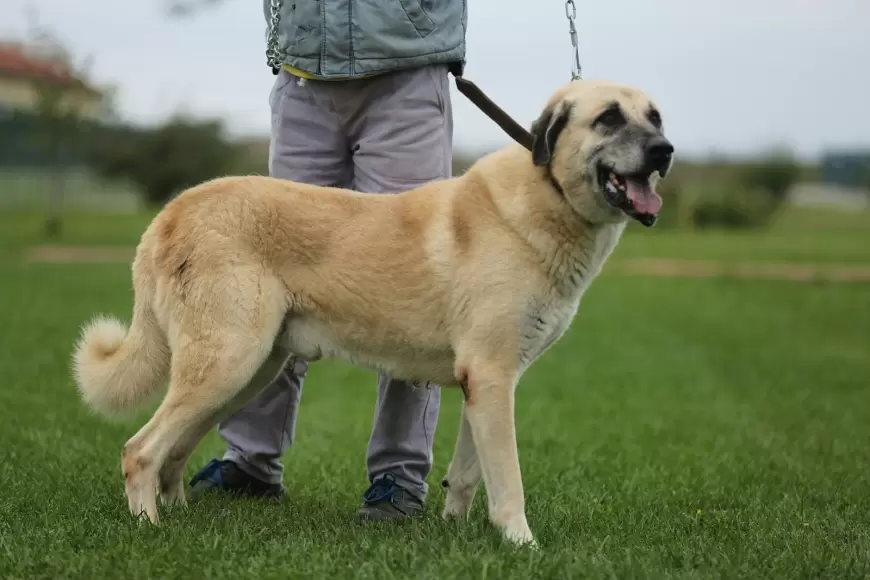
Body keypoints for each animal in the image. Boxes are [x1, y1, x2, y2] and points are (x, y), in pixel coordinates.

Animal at [73, 79, 676, 548]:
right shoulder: (492, 378)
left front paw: (457, 533)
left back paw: (177, 516)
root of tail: (172, 211)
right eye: (608, 118)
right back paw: (150, 527)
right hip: (229, 361)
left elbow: (467, 474)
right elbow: (509, 481)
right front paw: (522, 544)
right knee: (140, 450)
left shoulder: (484, 384)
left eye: (655, 117)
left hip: (248, 369)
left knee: (174, 449)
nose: (665, 151)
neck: (549, 196)